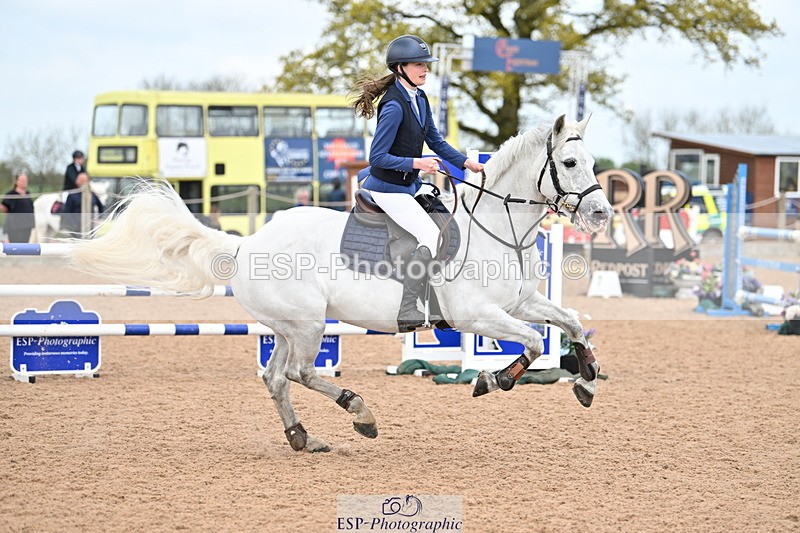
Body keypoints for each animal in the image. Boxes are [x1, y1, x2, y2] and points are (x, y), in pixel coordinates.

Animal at [68, 115, 613, 453]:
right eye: (569, 163)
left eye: (592, 163)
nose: (601, 214)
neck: (495, 227)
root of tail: (248, 244)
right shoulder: (476, 315)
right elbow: (531, 342)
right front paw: (491, 379)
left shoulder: (520, 302)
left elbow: (571, 322)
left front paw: (586, 379)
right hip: (308, 325)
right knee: (300, 373)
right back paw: (360, 414)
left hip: (289, 328)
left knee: (276, 377)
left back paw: (303, 437)